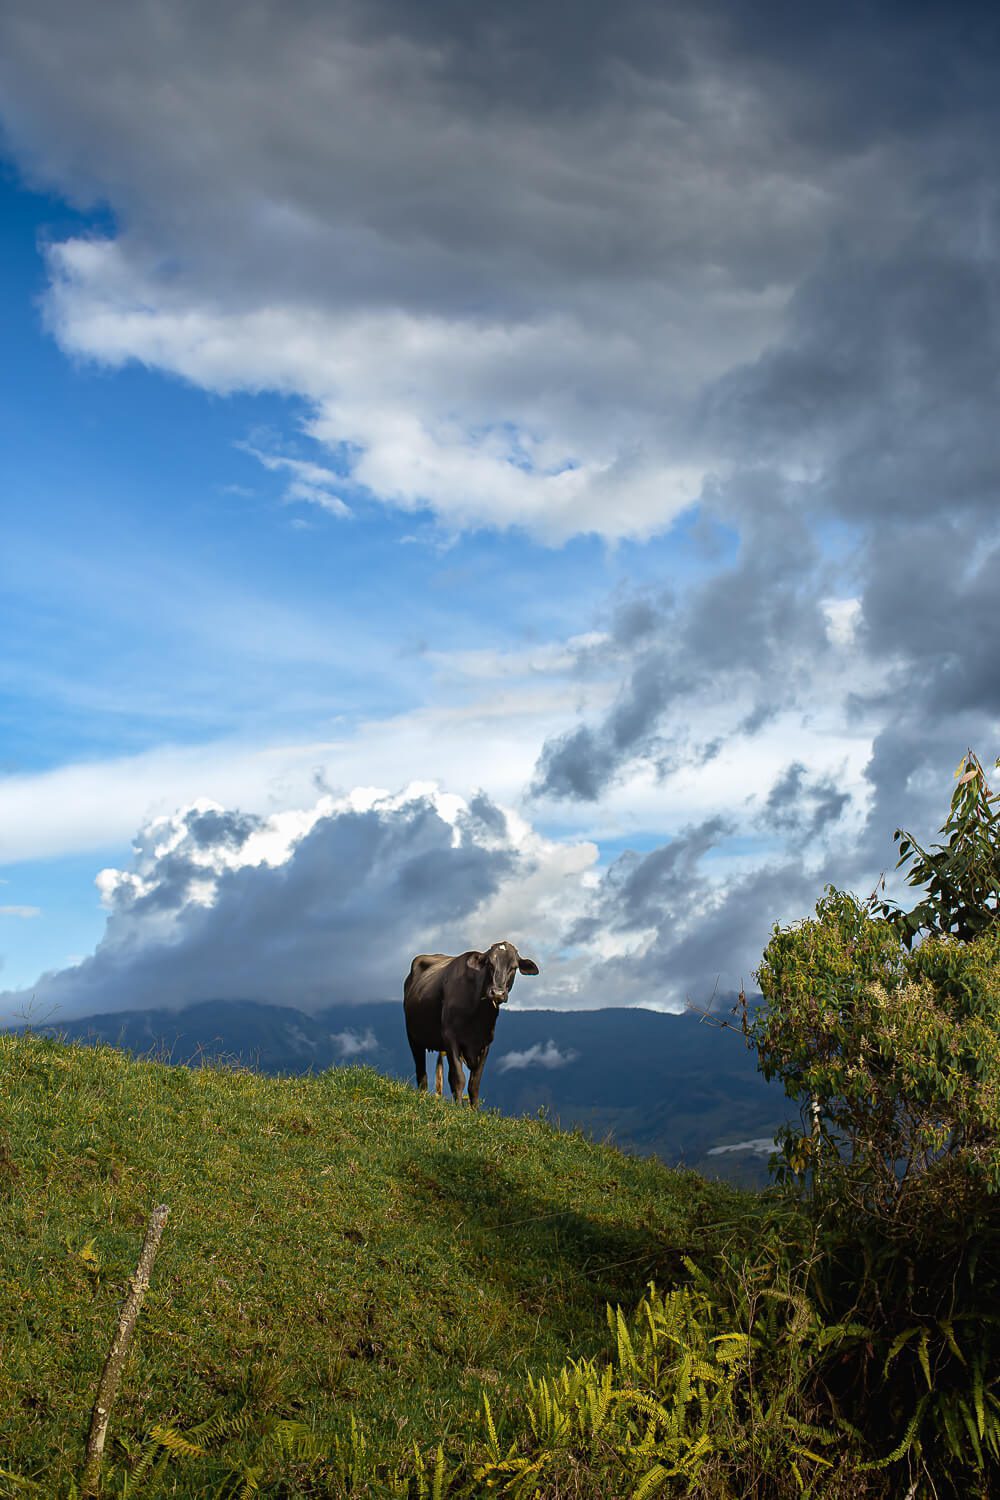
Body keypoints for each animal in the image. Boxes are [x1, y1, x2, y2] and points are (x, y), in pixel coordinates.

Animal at [403, 941, 540, 1107]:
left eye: (513, 967)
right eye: (489, 964)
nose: (497, 993)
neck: (478, 1015)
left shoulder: (485, 1043)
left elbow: (474, 1084)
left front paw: (474, 1110)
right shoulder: (450, 1038)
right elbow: (458, 1078)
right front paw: (458, 1109)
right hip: (413, 1037)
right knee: (421, 1073)